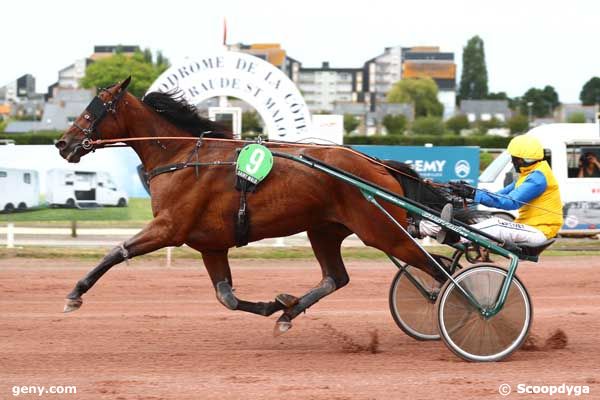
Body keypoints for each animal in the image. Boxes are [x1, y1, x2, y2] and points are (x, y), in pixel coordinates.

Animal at [57, 76, 460, 332]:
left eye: (93, 111)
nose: (63, 143)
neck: (182, 156)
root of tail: (378, 165)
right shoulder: (210, 244)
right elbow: (227, 298)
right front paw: (275, 305)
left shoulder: (169, 228)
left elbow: (117, 250)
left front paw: (75, 293)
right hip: (324, 230)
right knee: (336, 277)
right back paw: (289, 313)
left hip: (380, 231)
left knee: (436, 271)